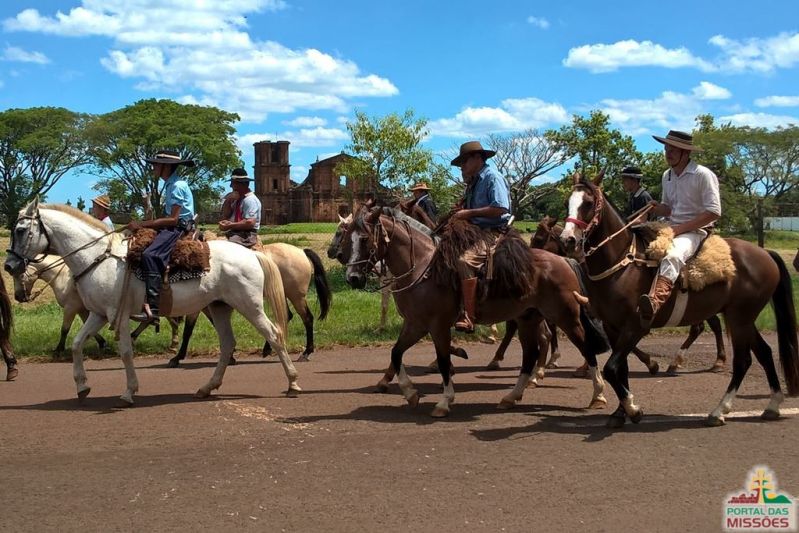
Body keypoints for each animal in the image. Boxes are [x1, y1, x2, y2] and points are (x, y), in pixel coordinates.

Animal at [4, 198, 298, 404]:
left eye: (20, 230)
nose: (8, 265)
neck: (98, 258)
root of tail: (252, 254)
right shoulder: (98, 314)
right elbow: (77, 344)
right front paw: (82, 386)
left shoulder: (119, 315)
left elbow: (125, 351)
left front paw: (129, 391)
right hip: (219, 307)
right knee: (227, 344)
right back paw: (206, 388)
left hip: (250, 305)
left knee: (274, 335)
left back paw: (293, 383)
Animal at [336, 204, 608, 416]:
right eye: (347, 236)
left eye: (364, 239)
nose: (352, 278)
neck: (422, 267)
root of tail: (564, 260)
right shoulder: (415, 324)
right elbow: (396, 353)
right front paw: (409, 392)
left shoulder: (437, 326)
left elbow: (443, 360)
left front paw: (444, 401)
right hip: (528, 318)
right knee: (531, 352)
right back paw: (513, 395)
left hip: (566, 316)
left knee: (584, 347)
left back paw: (597, 394)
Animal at [560, 172, 796, 426]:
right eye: (567, 202)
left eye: (588, 203)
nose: (567, 240)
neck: (624, 262)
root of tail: (765, 253)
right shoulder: (613, 327)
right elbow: (620, 369)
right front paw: (620, 412)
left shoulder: (636, 326)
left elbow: (612, 368)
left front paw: (633, 408)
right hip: (743, 318)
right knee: (764, 353)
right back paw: (772, 405)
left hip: (739, 318)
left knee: (743, 361)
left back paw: (719, 410)